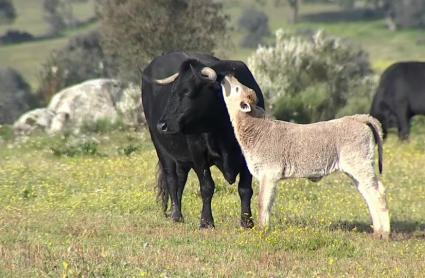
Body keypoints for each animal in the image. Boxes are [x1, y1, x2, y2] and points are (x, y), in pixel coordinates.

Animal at [141, 51, 264, 228]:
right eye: (172, 92)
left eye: (187, 91)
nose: (161, 125)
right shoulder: (198, 154)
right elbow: (207, 187)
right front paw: (206, 222)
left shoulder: (248, 154)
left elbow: (245, 189)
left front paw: (247, 222)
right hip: (162, 150)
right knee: (172, 179)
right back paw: (176, 215)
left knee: (181, 180)